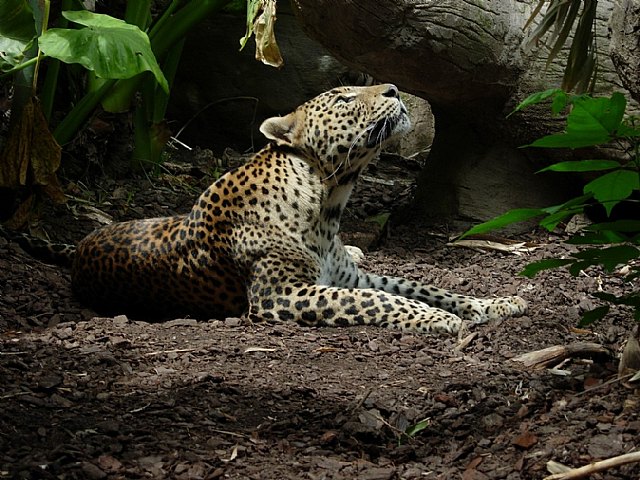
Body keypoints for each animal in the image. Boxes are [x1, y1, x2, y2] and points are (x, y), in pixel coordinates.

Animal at [6, 84, 524, 334]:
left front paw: (495, 303)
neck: (328, 205)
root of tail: (79, 245)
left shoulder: (348, 276)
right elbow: (380, 301)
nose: (396, 90)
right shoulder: (282, 295)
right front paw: (441, 320)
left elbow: (421, 286)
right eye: (344, 97)